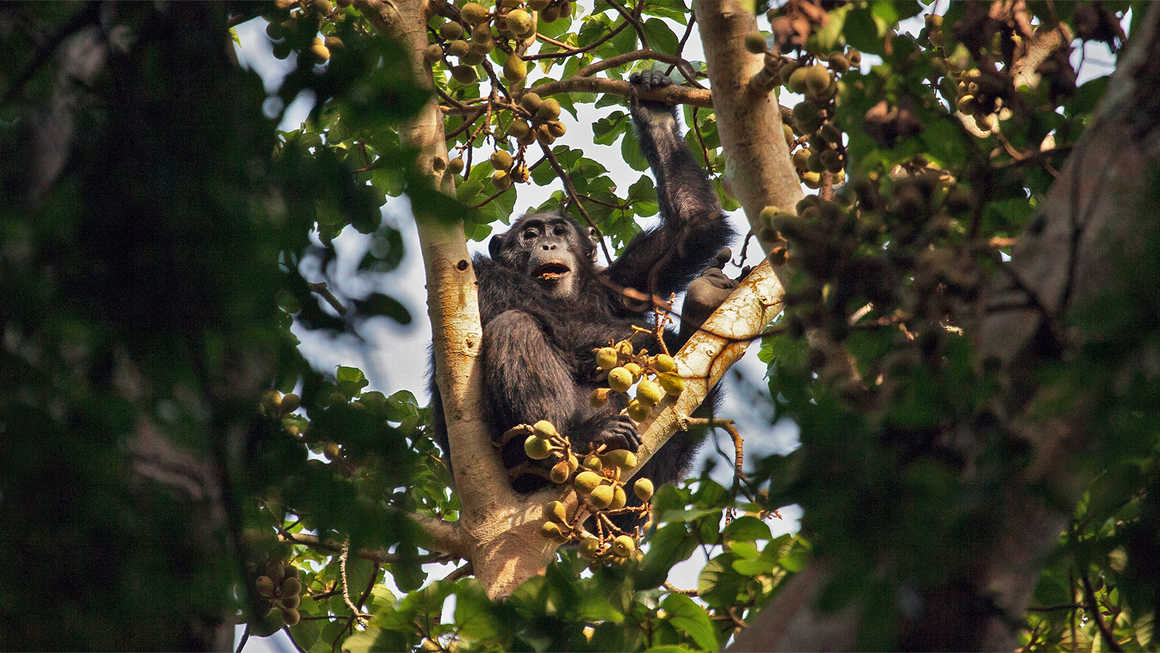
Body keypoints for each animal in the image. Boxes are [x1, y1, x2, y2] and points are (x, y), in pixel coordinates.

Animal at [431, 69, 737, 494]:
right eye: (529, 234)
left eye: (559, 230)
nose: (547, 242)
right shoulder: (479, 275)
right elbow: (558, 324)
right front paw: (652, 339)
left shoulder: (619, 281)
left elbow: (694, 226)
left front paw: (654, 111)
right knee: (515, 327)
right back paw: (572, 443)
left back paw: (700, 308)